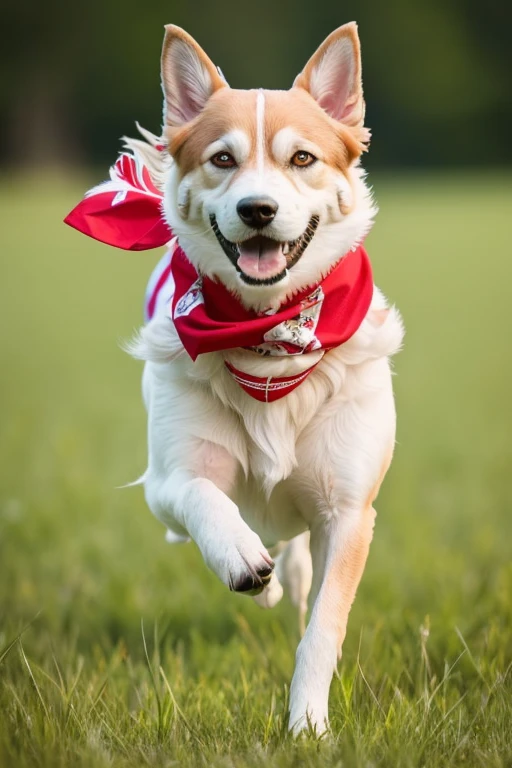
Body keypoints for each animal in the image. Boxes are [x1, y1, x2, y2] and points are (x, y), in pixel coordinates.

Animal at [67, 22, 404, 732]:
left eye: (301, 159)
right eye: (222, 160)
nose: (257, 209)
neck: (268, 342)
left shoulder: (349, 511)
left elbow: (323, 629)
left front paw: (307, 726)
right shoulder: (166, 482)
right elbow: (205, 498)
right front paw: (241, 558)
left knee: (299, 573)